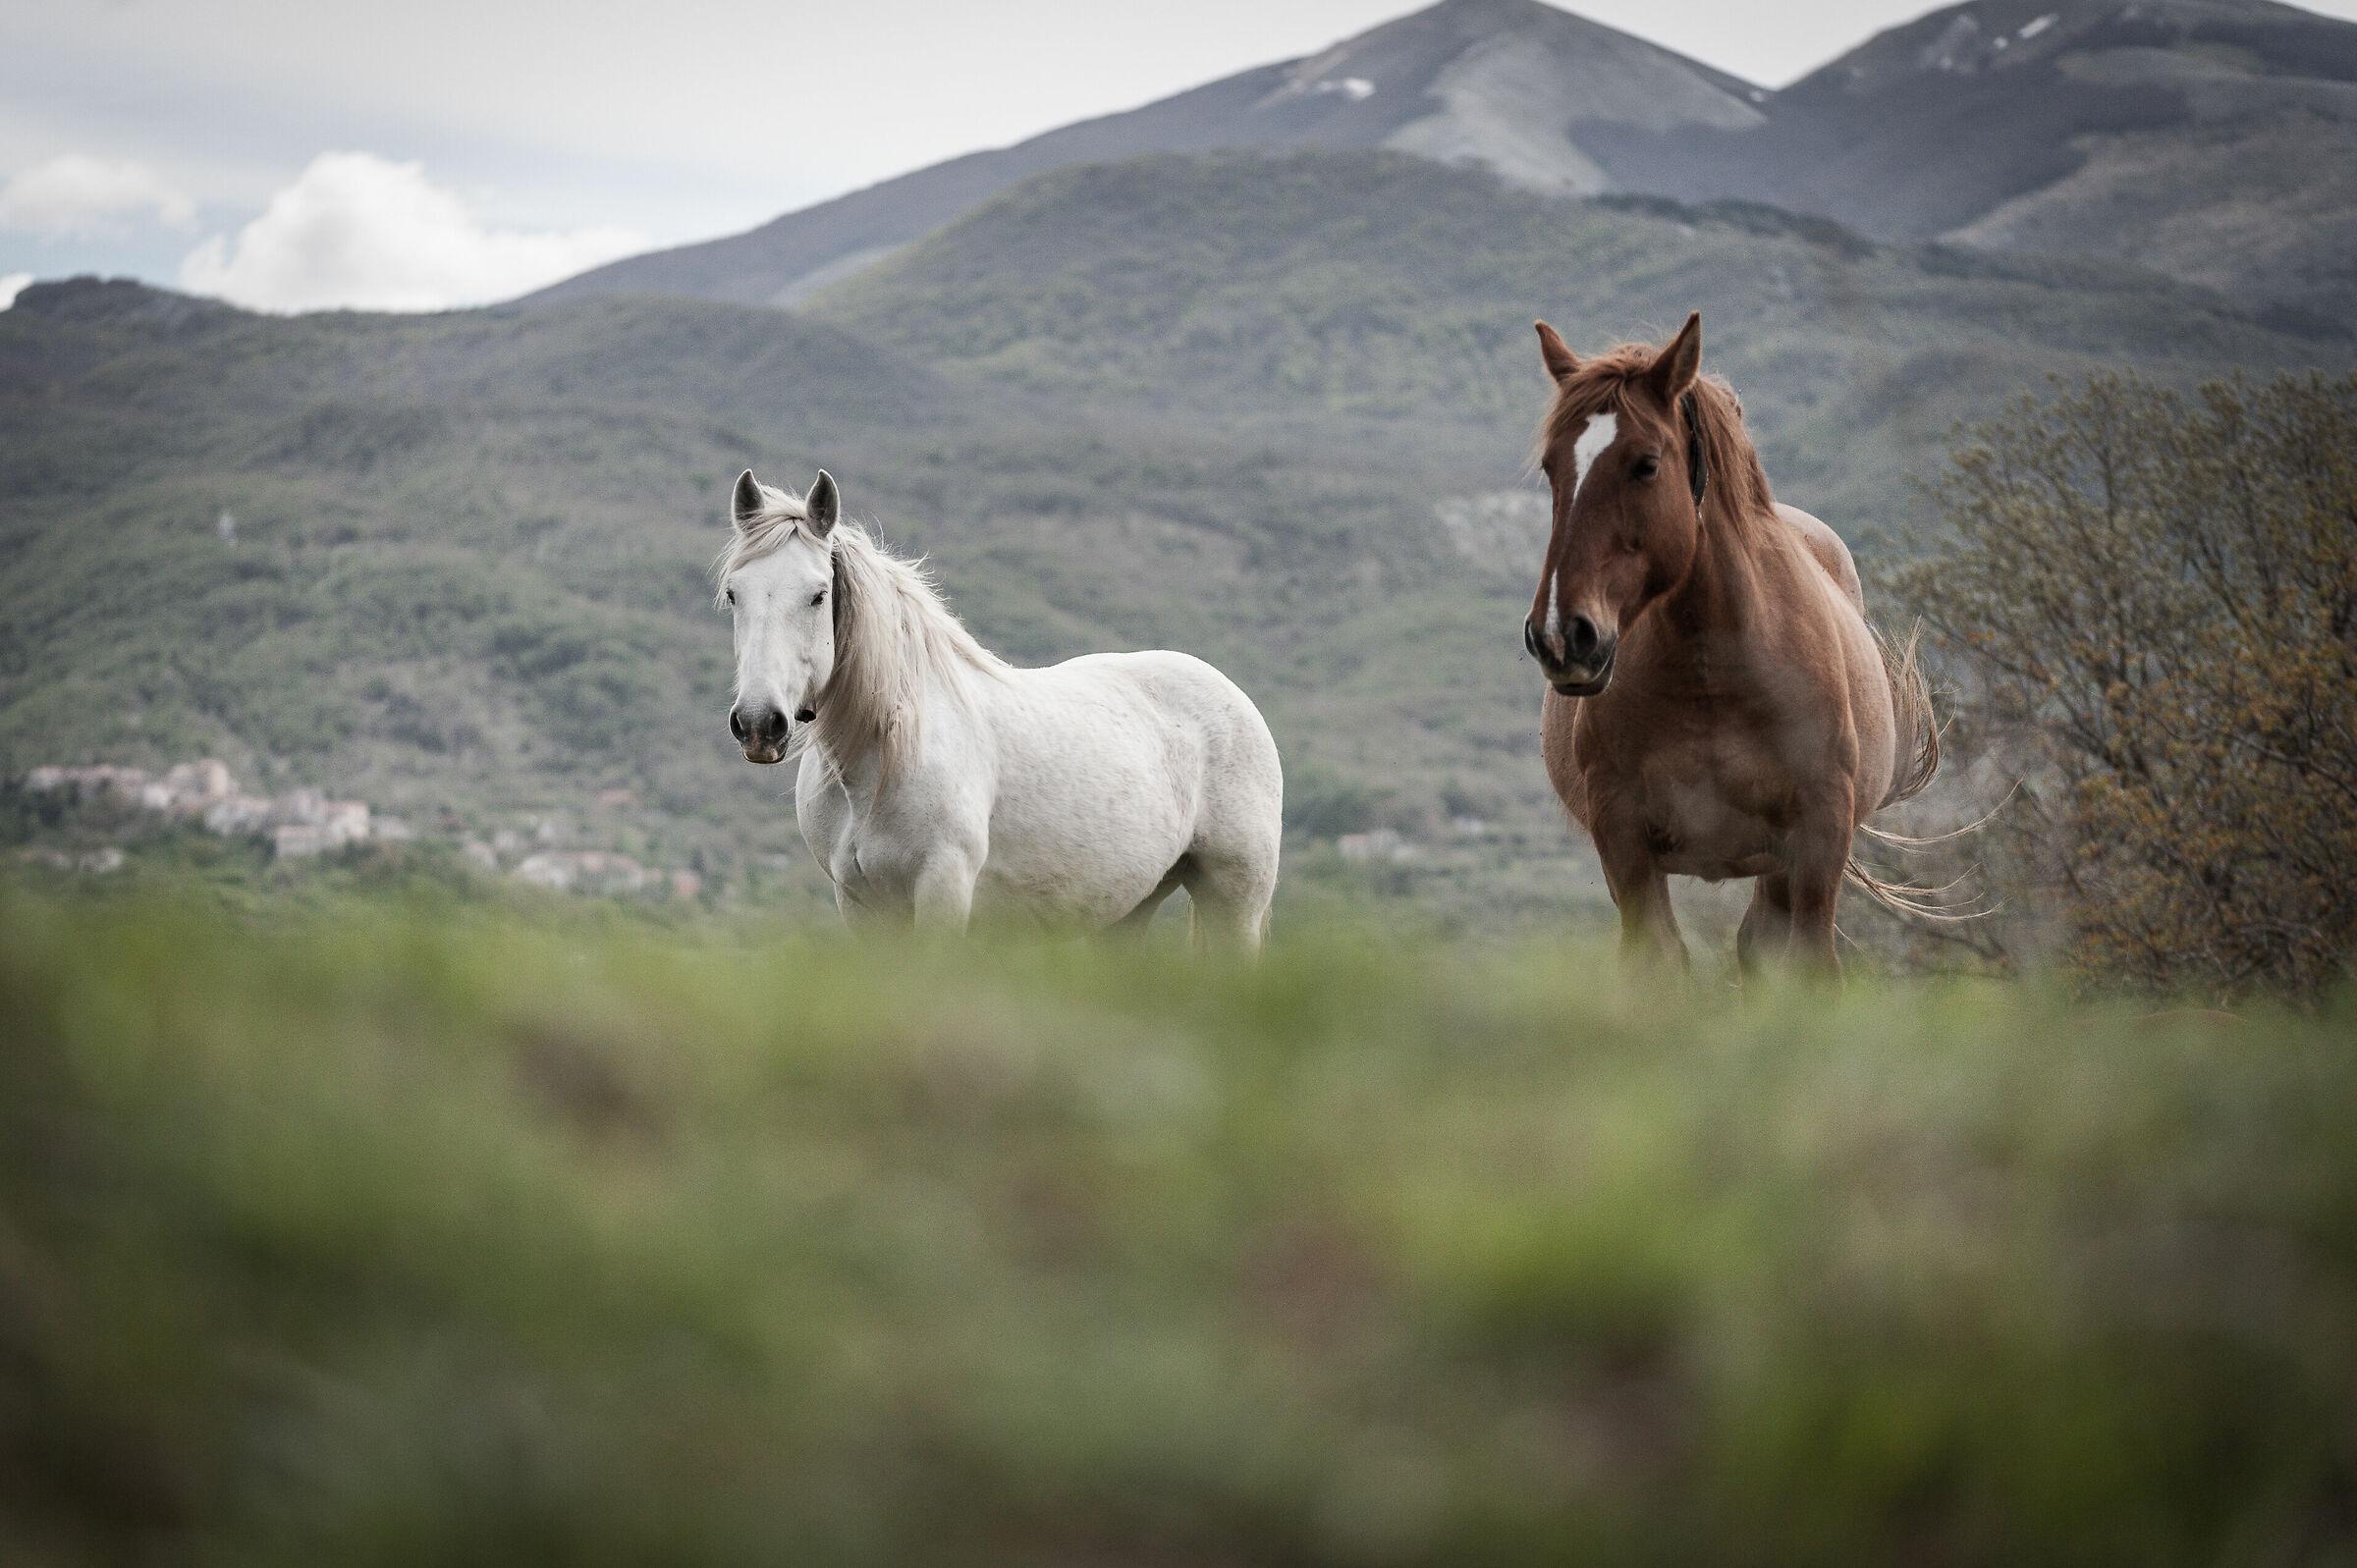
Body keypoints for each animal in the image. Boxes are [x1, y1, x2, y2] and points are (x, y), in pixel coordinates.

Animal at [718, 468, 1283, 949]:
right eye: (733, 594)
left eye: (818, 596)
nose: (758, 725)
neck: (883, 761)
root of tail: (1235, 698)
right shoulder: (860, 906)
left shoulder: (943, 892)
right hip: (1128, 912)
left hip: (1235, 904)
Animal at [1522, 312, 1939, 979]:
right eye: (1550, 466)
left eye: (1646, 464)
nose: (1563, 635)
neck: (1713, 676)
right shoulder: (1624, 841)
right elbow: (1659, 966)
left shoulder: (1818, 838)